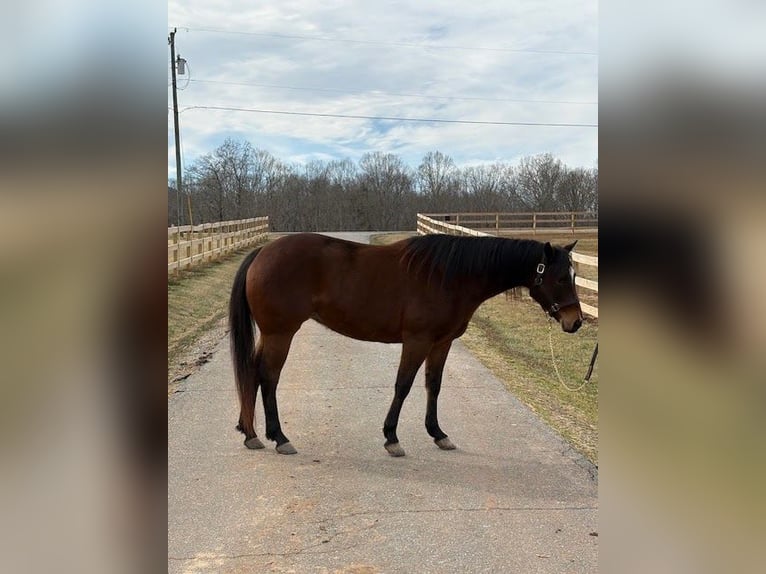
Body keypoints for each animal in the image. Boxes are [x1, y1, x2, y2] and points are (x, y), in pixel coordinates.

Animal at [229, 232, 582, 457]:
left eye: (574, 276)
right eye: (561, 278)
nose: (576, 321)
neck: (450, 276)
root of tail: (262, 253)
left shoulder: (441, 343)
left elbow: (433, 385)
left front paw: (438, 434)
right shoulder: (417, 341)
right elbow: (403, 385)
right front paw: (391, 438)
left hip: (273, 335)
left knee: (252, 373)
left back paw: (250, 433)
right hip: (280, 333)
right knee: (268, 377)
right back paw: (278, 437)